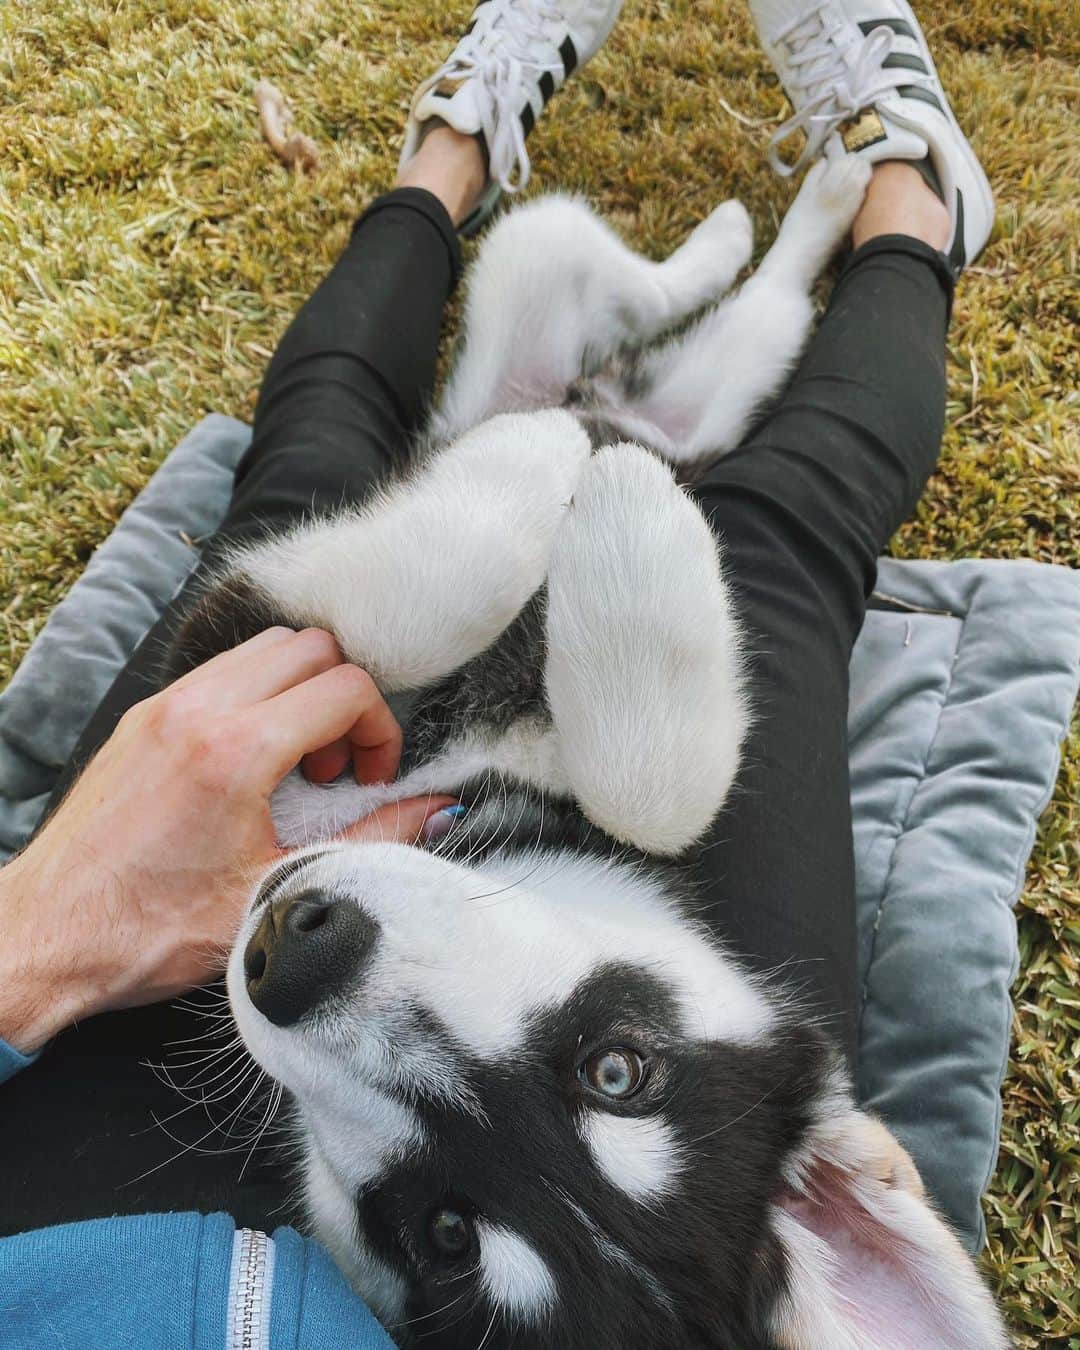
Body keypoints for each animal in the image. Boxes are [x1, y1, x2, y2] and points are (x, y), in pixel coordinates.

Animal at [168, 155, 1004, 1339]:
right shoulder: (238, 639)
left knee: (739, 322)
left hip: (681, 375)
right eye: (621, 1070)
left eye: (446, 1233)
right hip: (557, 290)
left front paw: (588, 500)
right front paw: (570, 487)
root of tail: (637, 400)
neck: (461, 787)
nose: (294, 949)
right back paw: (760, 237)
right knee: (643, 283)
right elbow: (634, 773)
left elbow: (650, 786)